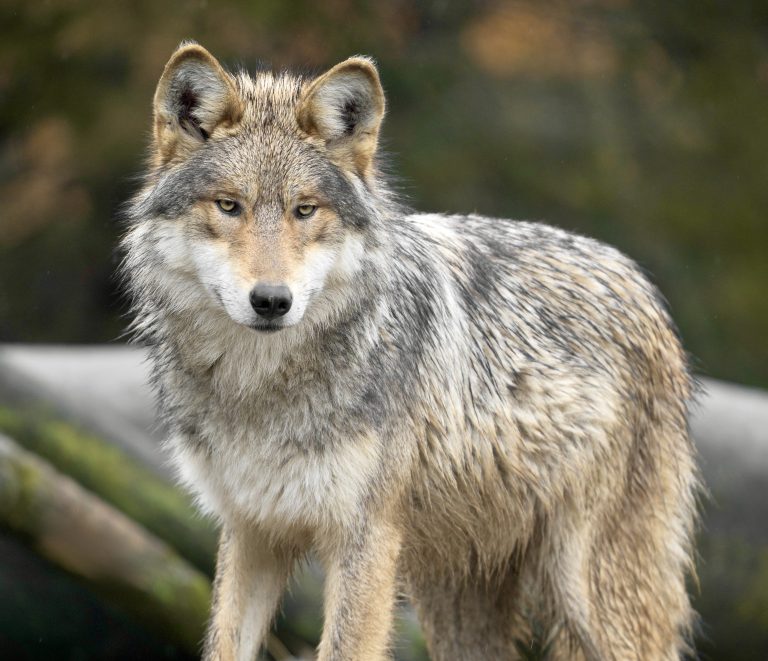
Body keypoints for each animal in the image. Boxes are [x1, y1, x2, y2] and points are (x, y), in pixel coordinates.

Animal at [121, 42, 699, 661]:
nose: (272, 301)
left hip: (592, 597)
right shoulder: (252, 532)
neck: (259, 389)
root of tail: (638, 280)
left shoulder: (365, 541)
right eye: (229, 206)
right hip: (456, 603)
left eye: (305, 210)